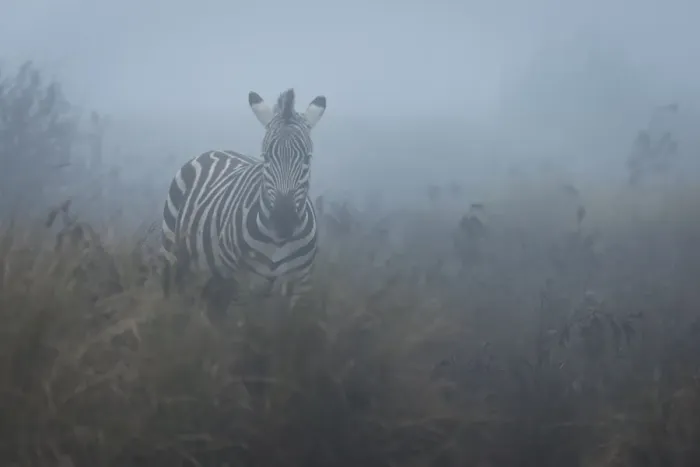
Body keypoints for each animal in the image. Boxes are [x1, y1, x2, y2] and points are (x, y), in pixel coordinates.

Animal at [161, 88, 327, 312]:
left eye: (307, 159)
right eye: (266, 157)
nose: (283, 221)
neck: (278, 242)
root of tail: (216, 149)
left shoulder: (300, 286)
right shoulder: (239, 282)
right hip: (172, 249)